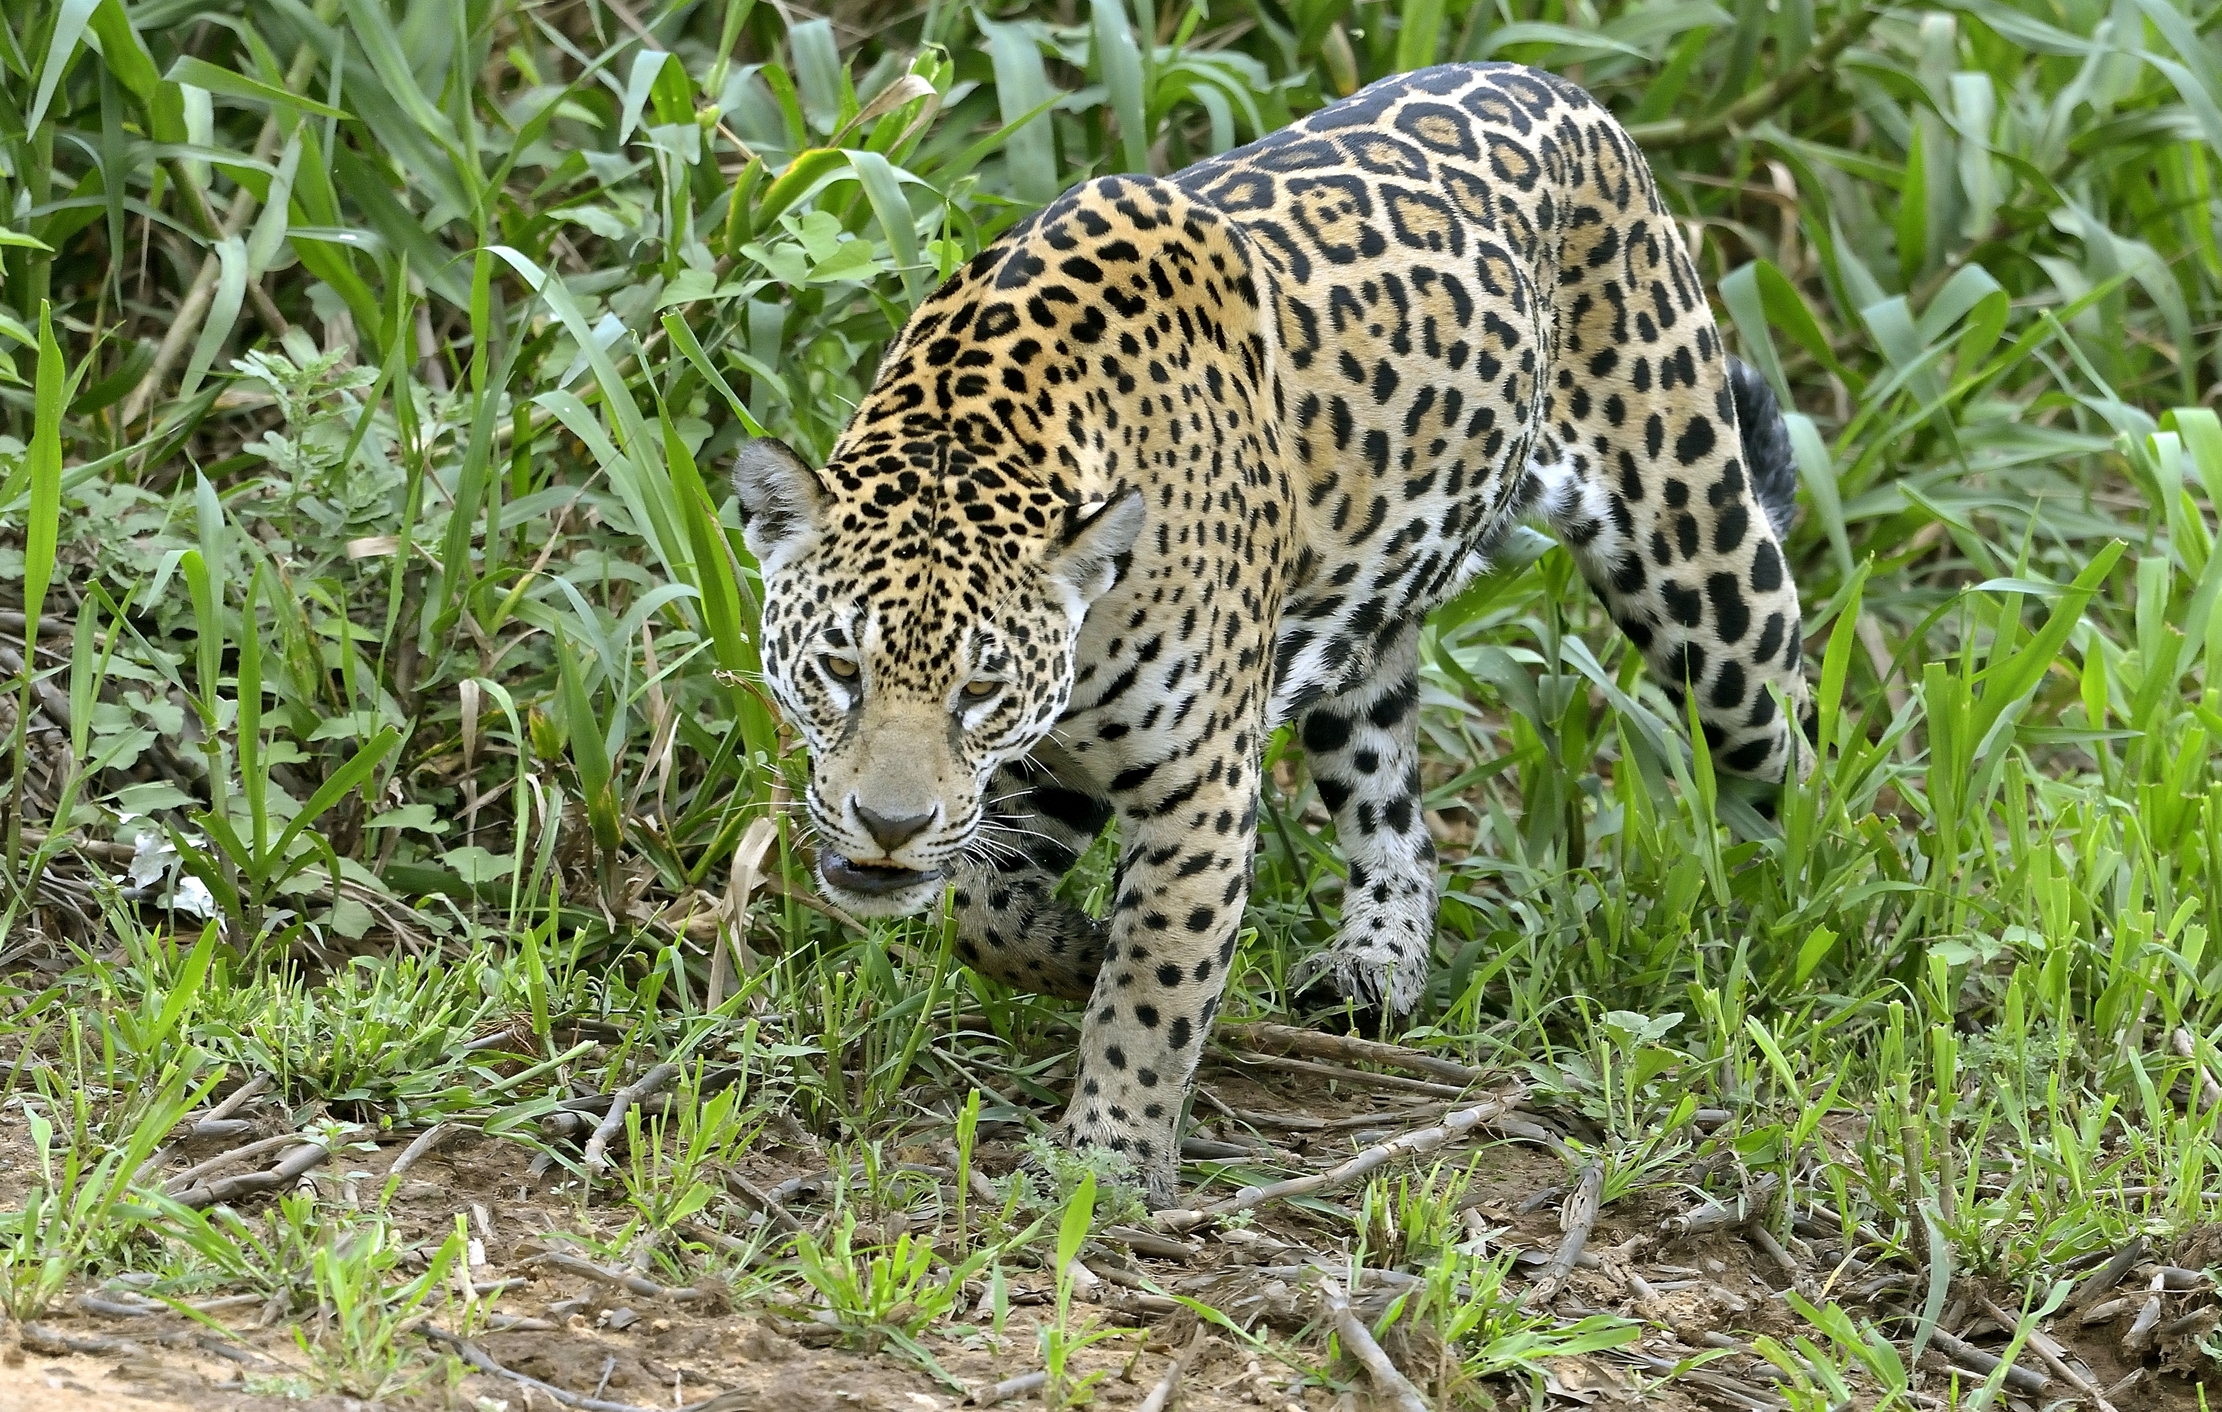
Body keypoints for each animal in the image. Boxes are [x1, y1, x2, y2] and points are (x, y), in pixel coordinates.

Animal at [732, 61, 1813, 1205]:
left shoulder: (1195, 780)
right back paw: (1373, 962)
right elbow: (982, 906)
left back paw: (1805, 889)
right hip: (1363, 644)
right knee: (1399, 821)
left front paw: (1109, 1165)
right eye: (837, 667)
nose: (887, 825)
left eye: (978, 691)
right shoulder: (1049, 766)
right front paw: (1075, 951)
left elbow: (1155, 985)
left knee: (1791, 738)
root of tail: (1557, 86)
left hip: (1700, 565)